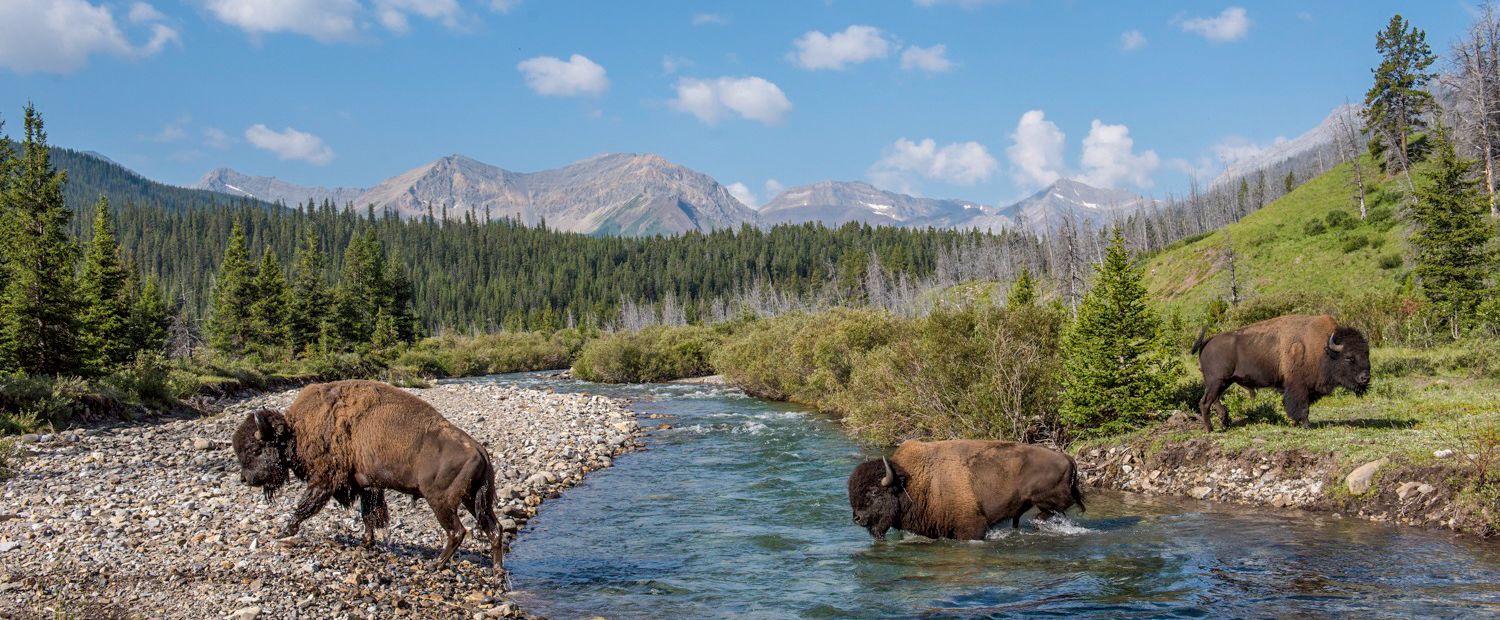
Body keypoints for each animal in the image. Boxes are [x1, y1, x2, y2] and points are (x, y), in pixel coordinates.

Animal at [231, 376, 507, 576]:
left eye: (255, 449)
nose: (244, 479)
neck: (295, 431)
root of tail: (479, 449)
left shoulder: (324, 481)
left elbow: (304, 506)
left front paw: (284, 531)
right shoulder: (366, 486)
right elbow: (368, 515)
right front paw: (366, 542)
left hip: (441, 501)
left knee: (457, 531)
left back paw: (436, 564)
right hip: (473, 500)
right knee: (494, 528)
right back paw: (496, 571)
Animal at [852, 438, 1086, 537]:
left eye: (874, 491)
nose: (856, 517)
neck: (914, 481)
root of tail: (1067, 457)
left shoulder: (971, 527)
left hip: (1048, 500)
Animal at [1194, 313, 1374, 429]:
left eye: (1367, 353)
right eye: (1349, 357)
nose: (1365, 377)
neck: (1324, 349)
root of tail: (1208, 341)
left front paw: (1296, 423)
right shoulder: (1298, 386)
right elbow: (1302, 407)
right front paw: (1306, 425)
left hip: (1223, 382)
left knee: (1214, 400)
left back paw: (1224, 422)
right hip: (1217, 381)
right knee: (1205, 402)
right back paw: (1210, 429)